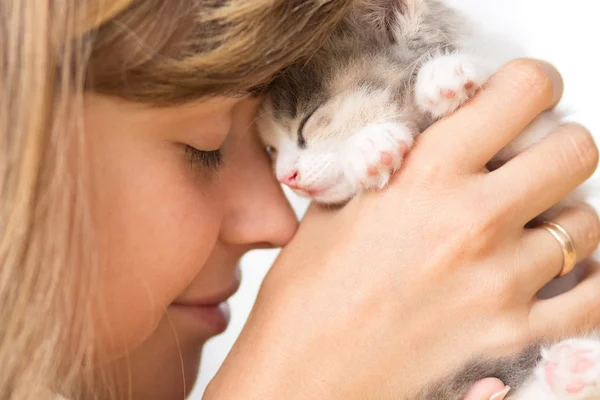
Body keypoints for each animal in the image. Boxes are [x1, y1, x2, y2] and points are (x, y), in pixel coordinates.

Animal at [255, 0, 596, 400]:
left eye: (308, 123)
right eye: (271, 150)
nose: (285, 178)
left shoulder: (553, 176)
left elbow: (528, 134)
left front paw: (444, 75)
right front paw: (371, 148)